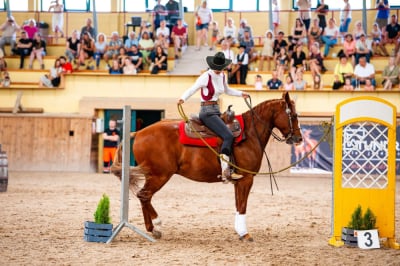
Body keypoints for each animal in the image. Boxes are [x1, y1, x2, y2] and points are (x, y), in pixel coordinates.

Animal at [111, 91, 302, 241]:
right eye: (293, 115)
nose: (299, 138)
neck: (250, 133)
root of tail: (138, 132)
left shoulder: (238, 181)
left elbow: (238, 204)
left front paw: (239, 231)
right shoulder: (246, 179)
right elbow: (242, 206)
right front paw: (244, 234)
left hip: (154, 175)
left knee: (145, 196)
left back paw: (153, 229)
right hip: (160, 175)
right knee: (144, 195)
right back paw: (155, 225)